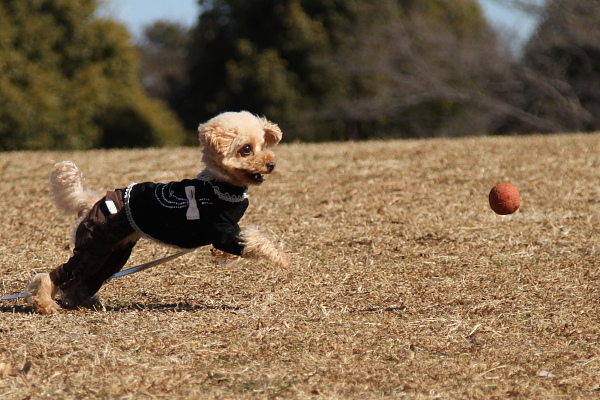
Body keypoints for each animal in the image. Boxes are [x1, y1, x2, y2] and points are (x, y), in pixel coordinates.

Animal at [27, 111, 290, 314]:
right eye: (246, 149)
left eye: (263, 146)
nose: (271, 164)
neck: (220, 185)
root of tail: (92, 202)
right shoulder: (222, 231)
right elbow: (256, 241)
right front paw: (281, 258)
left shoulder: (229, 233)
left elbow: (240, 243)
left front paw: (224, 257)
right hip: (94, 248)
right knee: (55, 275)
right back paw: (45, 304)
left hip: (113, 255)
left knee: (80, 281)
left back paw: (82, 301)